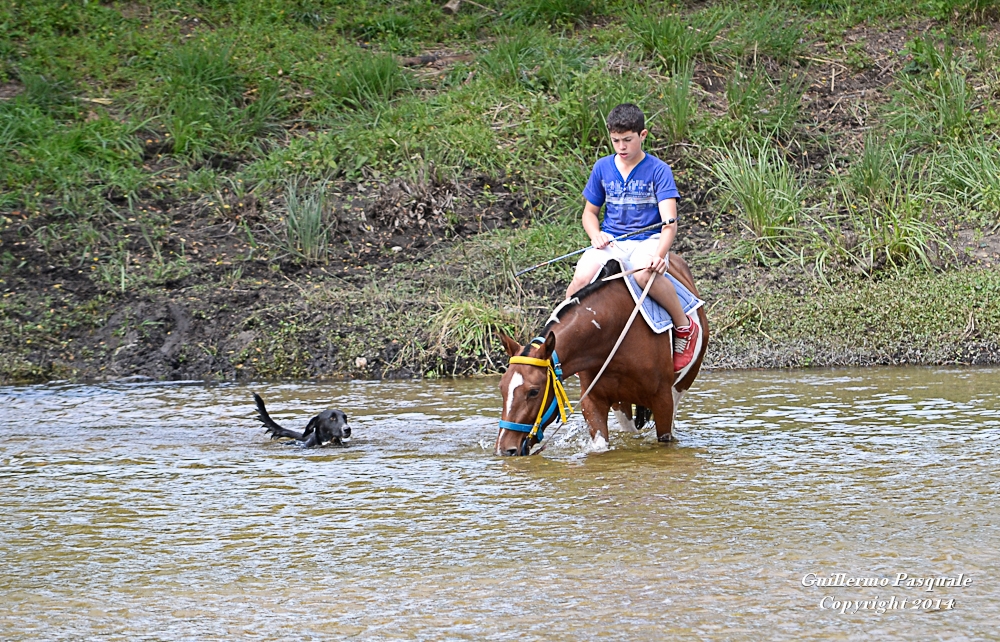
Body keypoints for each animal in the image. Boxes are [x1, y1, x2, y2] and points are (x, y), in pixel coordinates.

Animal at [496, 254, 708, 456]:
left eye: (534, 391)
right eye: (501, 387)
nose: (505, 449)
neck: (613, 330)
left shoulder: (663, 401)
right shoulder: (593, 401)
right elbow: (600, 445)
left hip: (680, 386)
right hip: (622, 402)